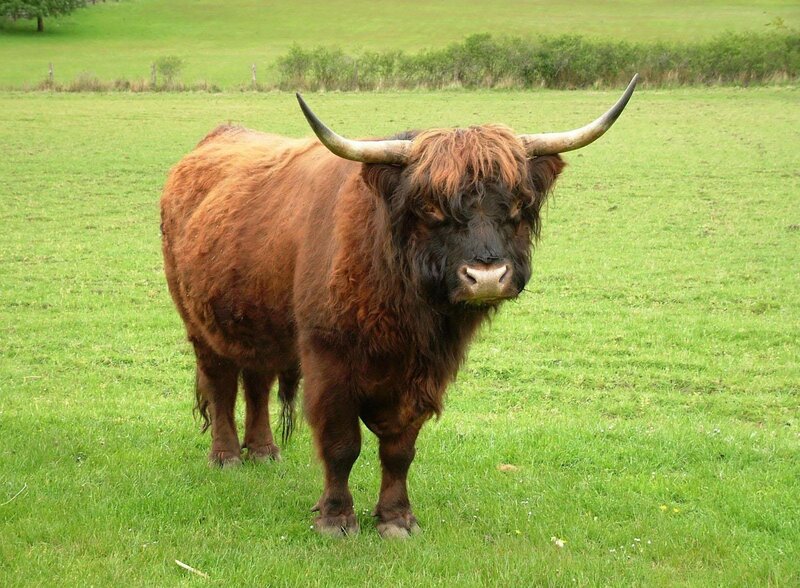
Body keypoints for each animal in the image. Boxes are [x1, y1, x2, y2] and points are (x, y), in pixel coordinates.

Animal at [160, 76, 637, 538]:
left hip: (257, 321)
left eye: (519, 204)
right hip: (199, 321)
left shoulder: (425, 372)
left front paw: (396, 518)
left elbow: (399, 448)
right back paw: (226, 456)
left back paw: (263, 451)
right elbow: (341, 443)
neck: (402, 306)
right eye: (430, 207)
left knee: (257, 380)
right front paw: (336, 519)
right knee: (221, 384)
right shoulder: (329, 360)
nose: (485, 277)